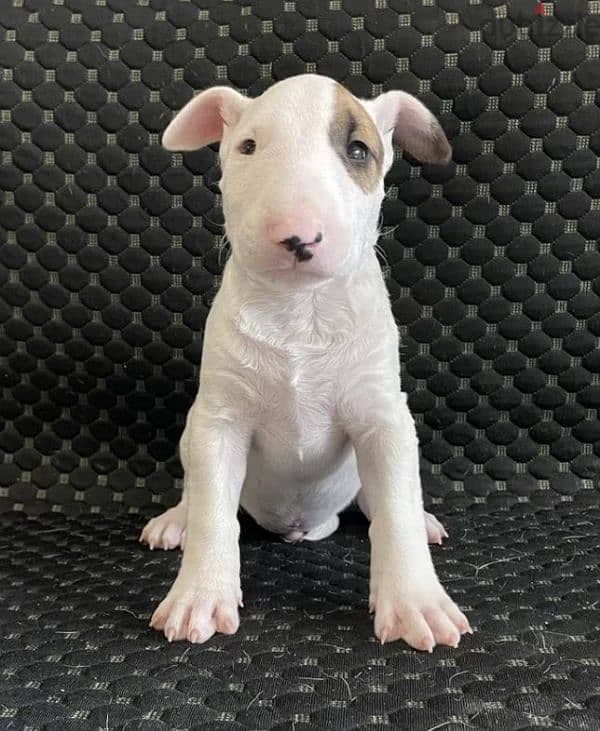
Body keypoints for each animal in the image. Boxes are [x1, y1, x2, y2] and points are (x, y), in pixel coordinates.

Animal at [142, 74, 474, 652]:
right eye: (248, 147)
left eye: (359, 149)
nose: (297, 234)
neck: (301, 313)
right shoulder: (219, 423)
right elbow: (213, 513)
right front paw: (199, 596)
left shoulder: (384, 420)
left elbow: (396, 513)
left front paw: (416, 604)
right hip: (192, 437)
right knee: (197, 492)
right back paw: (174, 520)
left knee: (379, 501)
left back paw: (425, 520)